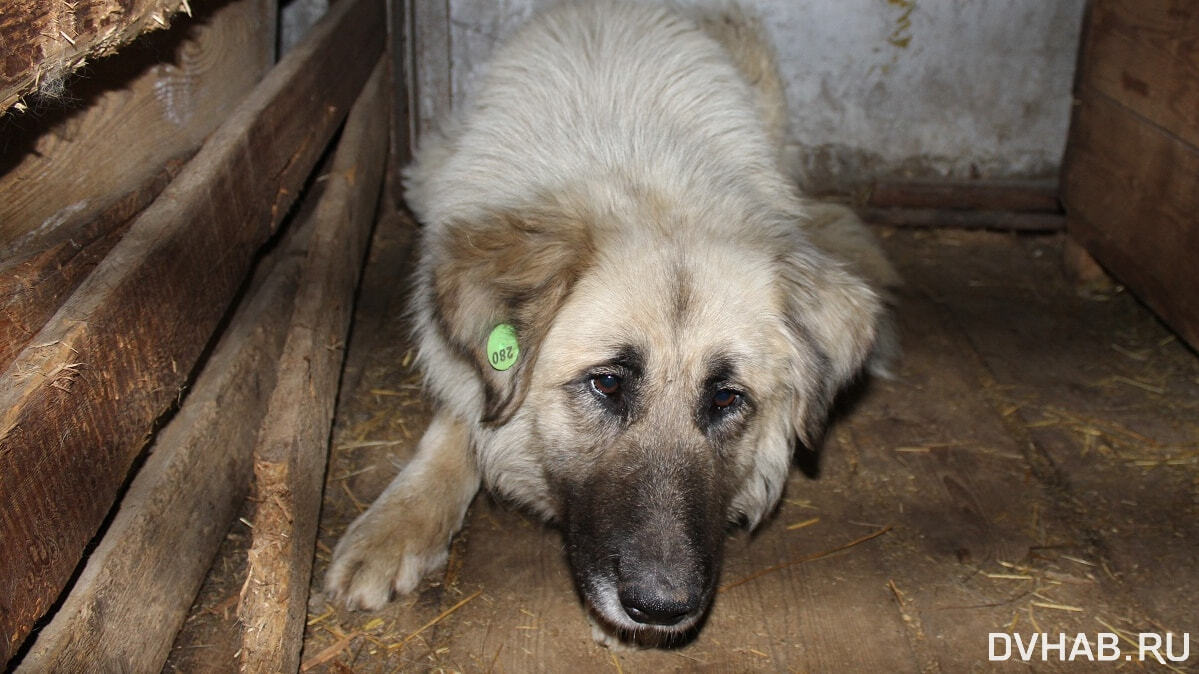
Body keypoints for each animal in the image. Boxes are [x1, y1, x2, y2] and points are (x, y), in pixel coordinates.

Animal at [328, 0, 901, 647]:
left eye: (727, 398)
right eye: (606, 383)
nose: (661, 608)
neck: (641, 175)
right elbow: (457, 423)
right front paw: (397, 523)